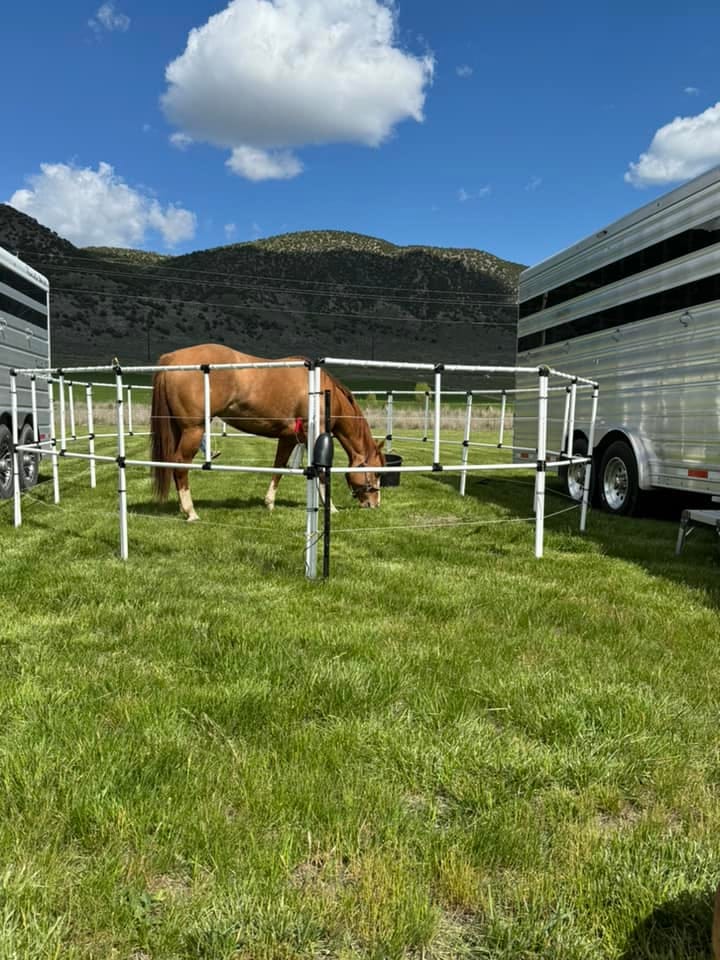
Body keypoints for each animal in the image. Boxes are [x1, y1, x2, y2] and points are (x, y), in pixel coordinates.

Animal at [150, 343, 385, 521]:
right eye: (376, 473)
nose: (374, 504)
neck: (322, 392)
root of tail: (172, 358)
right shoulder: (313, 436)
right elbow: (320, 473)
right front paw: (332, 508)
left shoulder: (288, 438)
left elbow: (278, 468)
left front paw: (269, 503)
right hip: (193, 430)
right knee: (180, 465)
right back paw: (191, 512)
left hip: (178, 430)